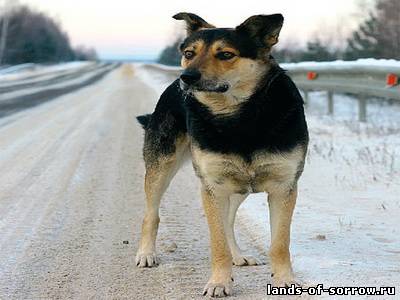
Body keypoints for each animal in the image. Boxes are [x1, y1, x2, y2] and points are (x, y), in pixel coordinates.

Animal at [136, 12, 308, 298]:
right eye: (189, 53)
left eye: (226, 54)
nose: (187, 77)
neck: (240, 116)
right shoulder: (213, 187)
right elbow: (217, 243)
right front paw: (218, 282)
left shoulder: (283, 186)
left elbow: (279, 244)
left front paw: (285, 280)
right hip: (162, 168)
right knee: (152, 214)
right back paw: (146, 254)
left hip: (237, 188)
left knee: (228, 222)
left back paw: (238, 256)